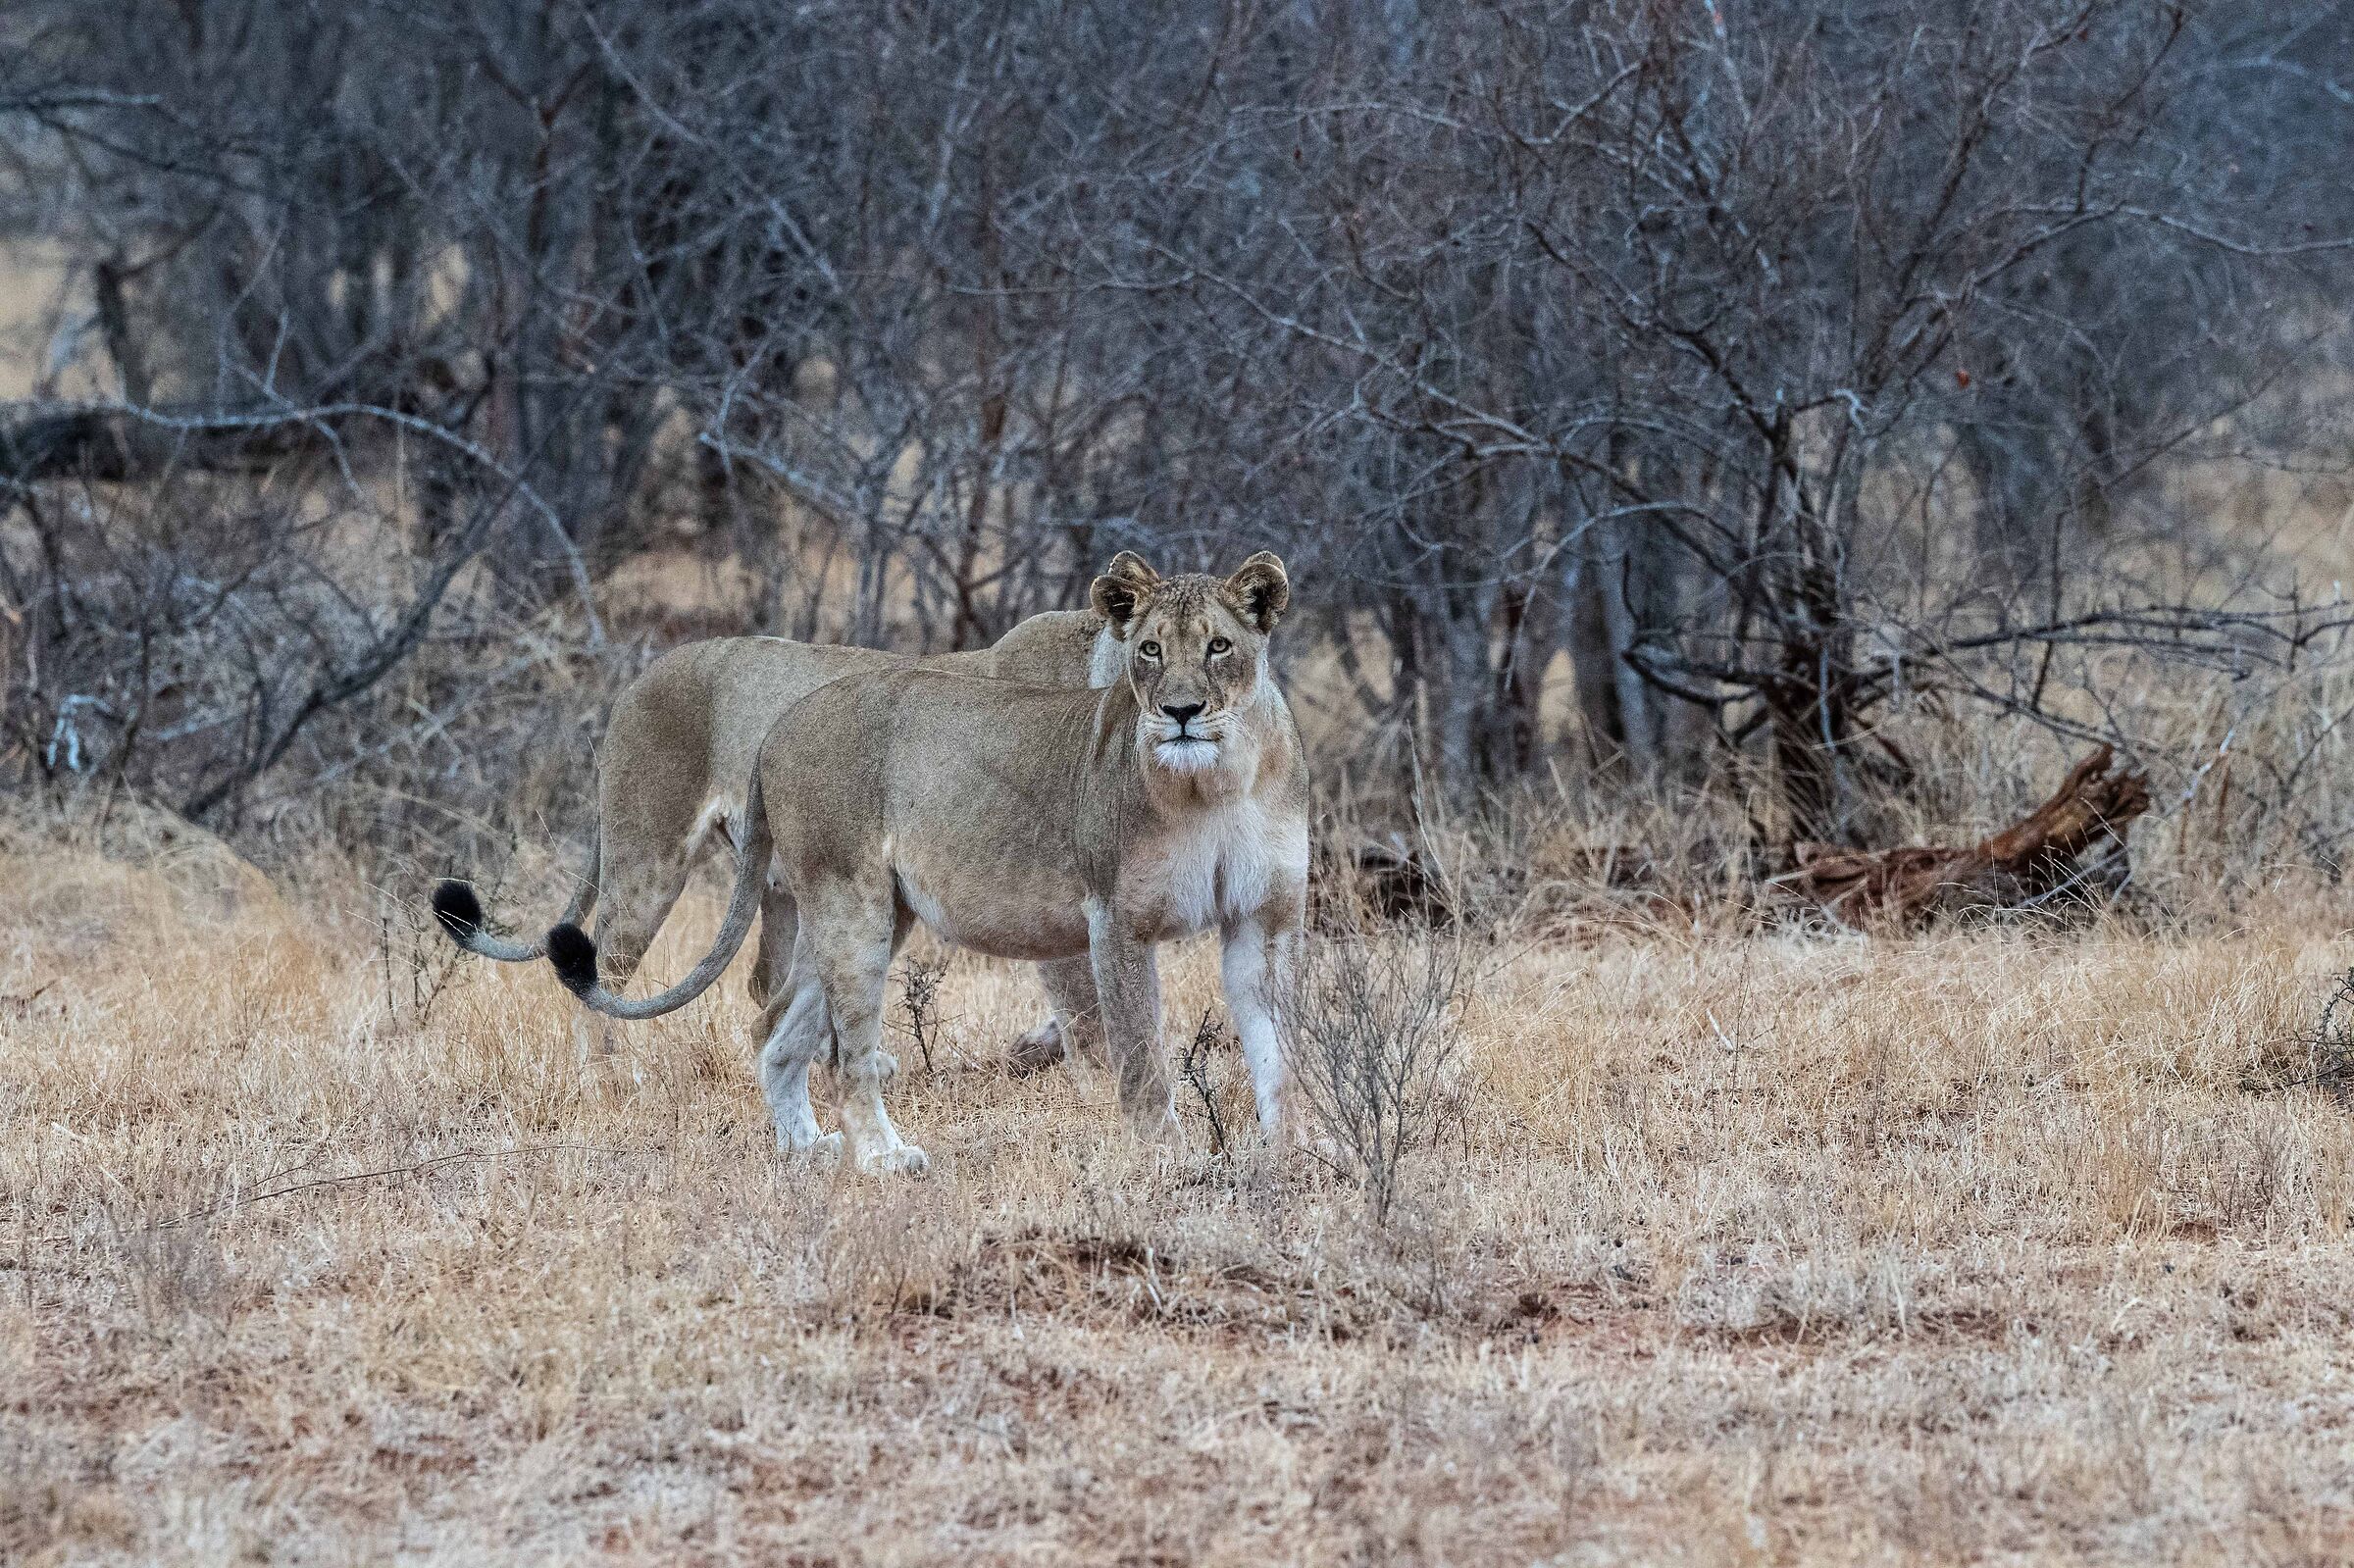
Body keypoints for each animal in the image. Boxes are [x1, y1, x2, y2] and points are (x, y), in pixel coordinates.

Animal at [431, 606, 1123, 1061]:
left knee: (771, 988)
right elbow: (1085, 1008)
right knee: (602, 975)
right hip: (648, 862)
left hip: (783, 886)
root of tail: (639, 679)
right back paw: (603, 1080)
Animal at [544, 550, 1310, 1171]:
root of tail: (782, 729)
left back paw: (807, 1149)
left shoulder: (1264, 920)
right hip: (730, 879)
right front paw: (1167, 1161)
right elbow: (1125, 1049)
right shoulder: (1108, 921)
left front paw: (1290, 1156)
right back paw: (873, 1154)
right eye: (1150, 649)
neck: (1217, 784)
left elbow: (1278, 1052)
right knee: (813, 1045)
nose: (1181, 711)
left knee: (776, 1030)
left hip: (862, 913)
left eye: (1219, 646)